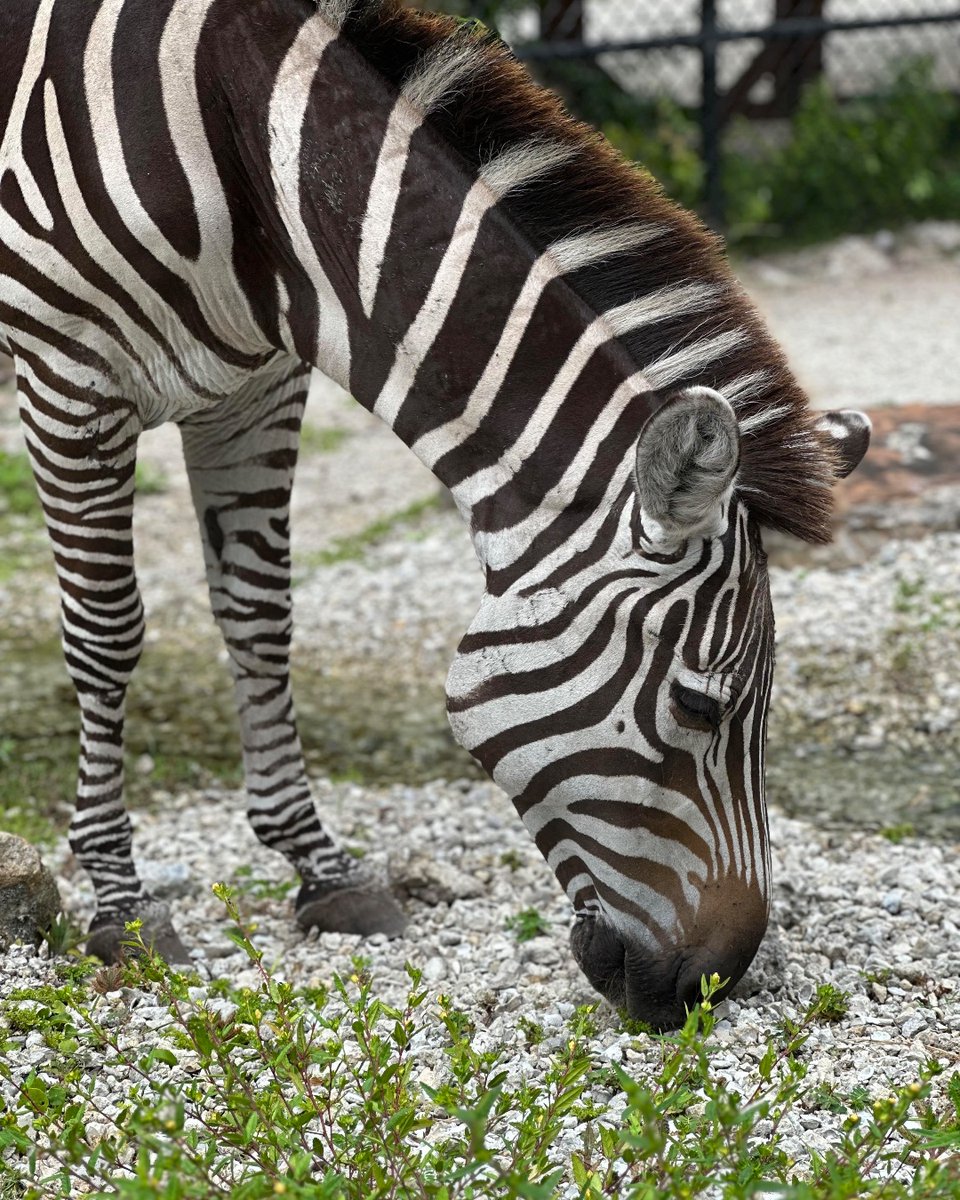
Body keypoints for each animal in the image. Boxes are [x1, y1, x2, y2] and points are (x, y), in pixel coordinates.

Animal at [0, 0, 869, 1030]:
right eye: (701, 704)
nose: (714, 984)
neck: (245, 168)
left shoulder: (255, 386)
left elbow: (259, 618)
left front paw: (321, 871)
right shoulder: (70, 376)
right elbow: (107, 635)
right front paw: (121, 905)